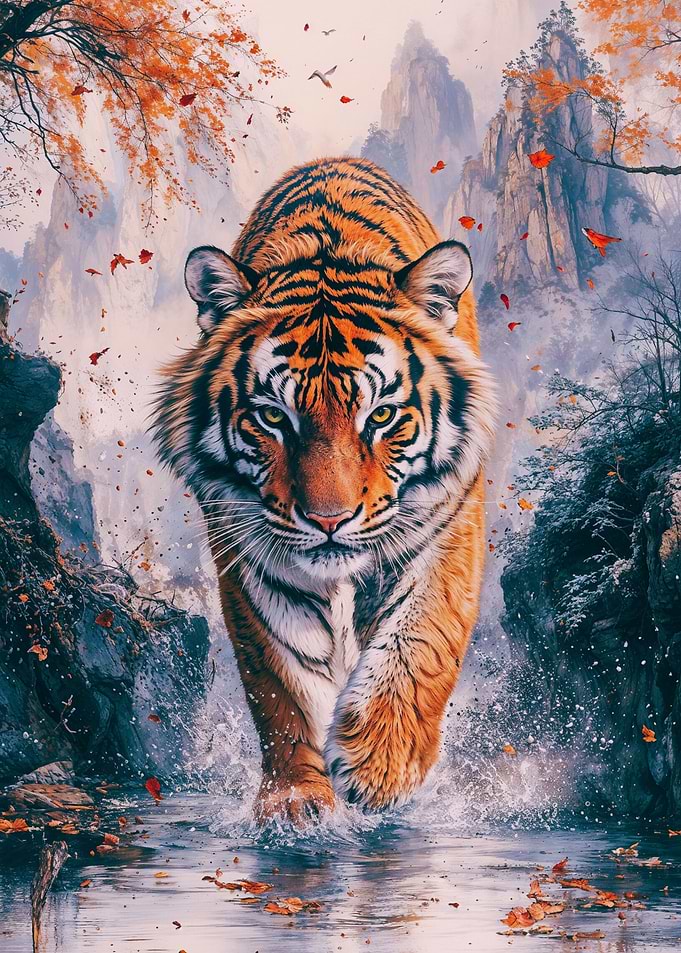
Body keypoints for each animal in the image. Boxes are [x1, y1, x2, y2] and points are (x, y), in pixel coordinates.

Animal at [152, 157, 497, 822]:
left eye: (381, 416)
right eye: (272, 418)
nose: (329, 520)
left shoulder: (448, 522)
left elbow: (421, 634)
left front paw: (379, 766)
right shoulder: (249, 547)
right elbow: (280, 679)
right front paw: (296, 801)